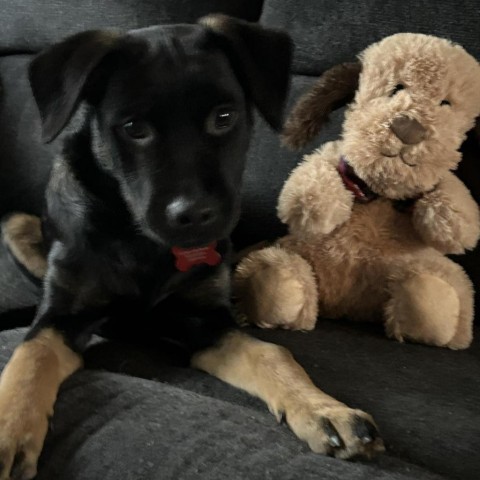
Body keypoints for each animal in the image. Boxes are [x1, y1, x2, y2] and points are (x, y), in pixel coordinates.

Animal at [0, 15, 382, 480]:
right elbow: (30, 357)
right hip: (13, 225)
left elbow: (271, 354)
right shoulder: (62, 316)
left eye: (224, 117)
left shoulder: (205, 322)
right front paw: (7, 432)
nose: (195, 216)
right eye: (134, 129)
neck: (142, 243)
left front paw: (324, 410)